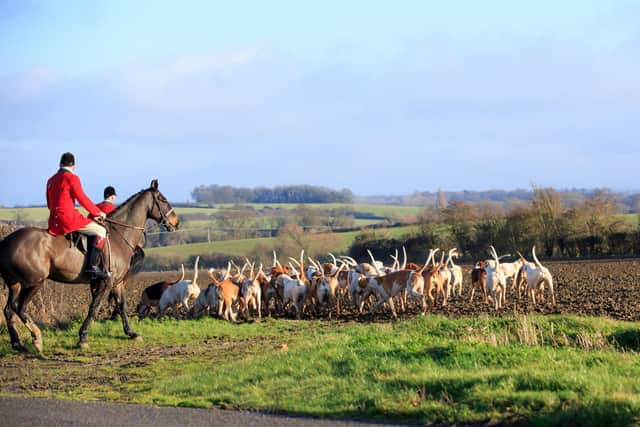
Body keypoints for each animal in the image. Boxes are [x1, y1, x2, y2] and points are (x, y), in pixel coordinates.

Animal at [0, 179, 179, 352]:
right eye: (163, 199)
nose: (176, 223)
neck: (119, 236)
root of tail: (6, 242)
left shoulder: (117, 283)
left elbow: (122, 305)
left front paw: (131, 333)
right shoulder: (105, 283)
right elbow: (94, 307)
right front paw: (83, 337)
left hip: (15, 284)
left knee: (9, 310)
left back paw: (18, 344)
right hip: (34, 283)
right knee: (19, 307)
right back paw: (36, 338)